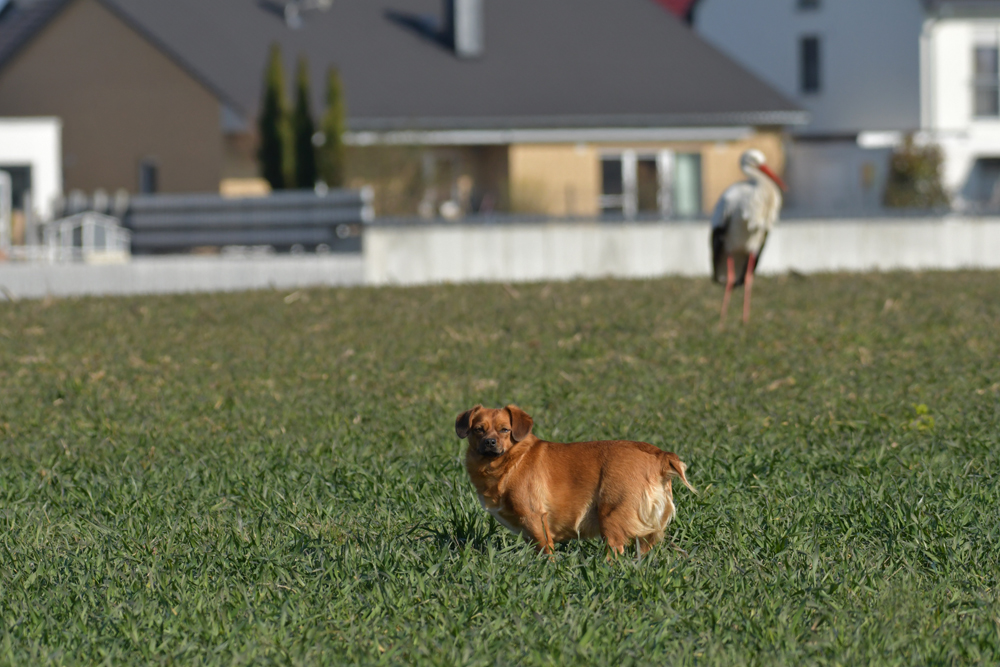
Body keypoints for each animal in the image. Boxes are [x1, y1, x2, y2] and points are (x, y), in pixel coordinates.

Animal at [456, 404, 696, 556]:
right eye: (478, 430)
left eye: (505, 429)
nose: (489, 442)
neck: (509, 461)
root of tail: (659, 455)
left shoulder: (535, 518)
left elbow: (546, 551)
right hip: (646, 532)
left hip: (611, 516)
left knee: (615, 552)